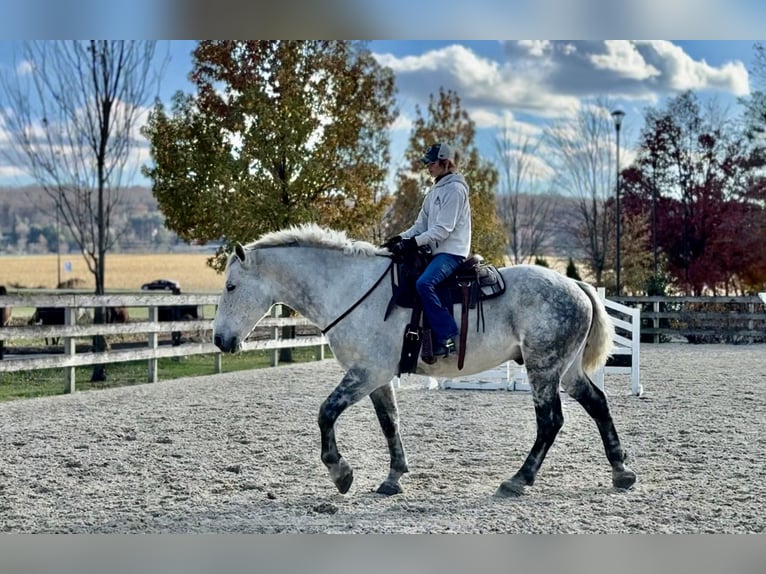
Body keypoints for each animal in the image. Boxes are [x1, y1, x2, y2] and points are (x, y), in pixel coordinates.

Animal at [212, 223, 636, 497]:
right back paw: (621, 472)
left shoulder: (366, 373)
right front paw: (393, 478)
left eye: (231, 286)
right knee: (598, 404)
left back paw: (519, 479)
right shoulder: (377, 377)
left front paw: (340, 472)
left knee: (550, 421)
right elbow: (389, 423)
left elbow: (326, 413)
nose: (219, 339)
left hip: (543, 367)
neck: (350, 289)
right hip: (567, 369)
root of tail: (576, 286)